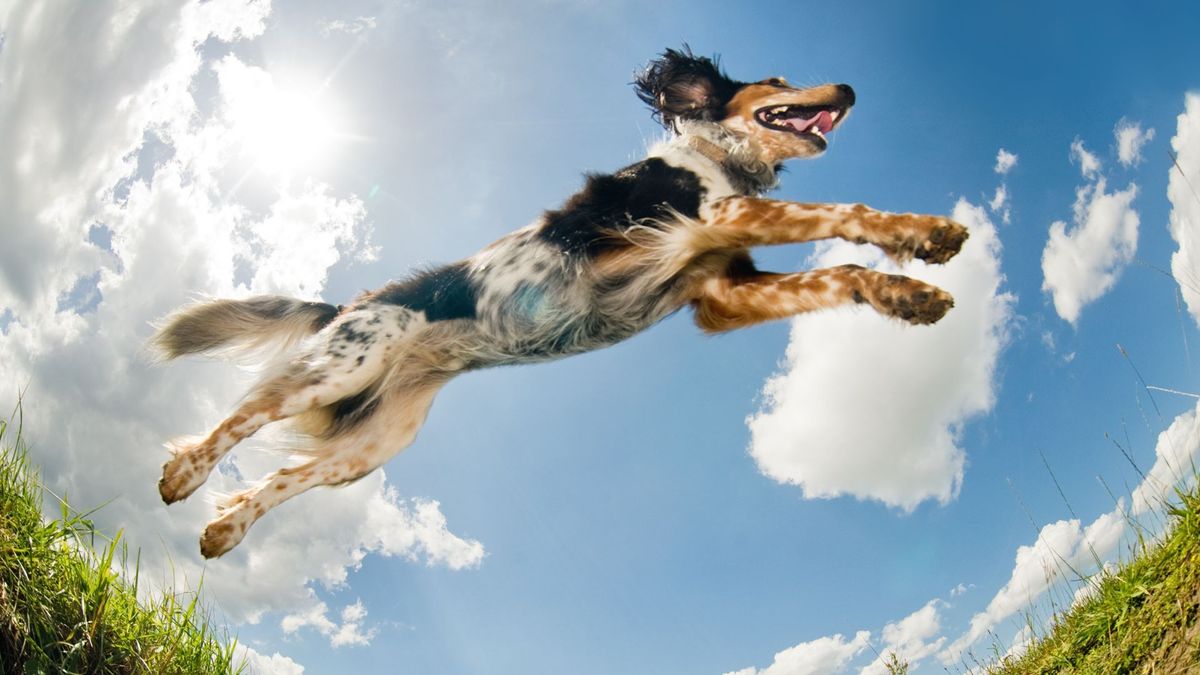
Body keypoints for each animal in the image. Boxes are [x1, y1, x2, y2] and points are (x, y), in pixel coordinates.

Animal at [154, 44, 969, 554]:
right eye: (775, 79)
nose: (851, 90)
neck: (718, 160)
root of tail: (347, 303)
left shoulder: (723, 292)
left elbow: (838, 273)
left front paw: (908, 293)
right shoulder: (709, 219)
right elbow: (842, 211)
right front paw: (925, 232)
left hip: (374, 444)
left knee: (281, 475)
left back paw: (223, 532)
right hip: (343, 367)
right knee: (244, 414)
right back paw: (181, 474)